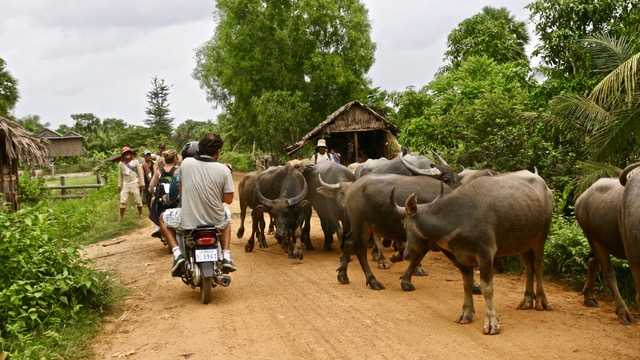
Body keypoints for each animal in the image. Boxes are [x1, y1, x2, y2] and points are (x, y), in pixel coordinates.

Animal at [398, 169, 552, 334]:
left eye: (405, 225)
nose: (407, 254)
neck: (455, 218)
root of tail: (544, 185)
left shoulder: (486, 254)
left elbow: (487, 288)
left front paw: (492, 322)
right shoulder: (461, 257)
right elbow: (467, 285)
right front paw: (466, 313)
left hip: (541, 234)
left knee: (538, 265)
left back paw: (541, 301)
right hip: (522, 241)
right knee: (529, 266)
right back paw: (527, 299)